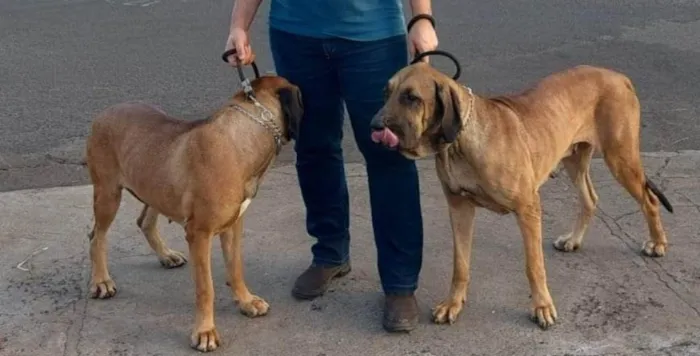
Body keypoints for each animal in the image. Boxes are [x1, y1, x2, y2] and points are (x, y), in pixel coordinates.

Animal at [83, 74, 302, 350]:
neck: (242, 138)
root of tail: (104, 112)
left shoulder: (233, 226)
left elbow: (235, 267)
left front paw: (246, 301)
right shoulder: (199, 234)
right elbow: (205, 287)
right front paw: (205, 331)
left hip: (155, 185)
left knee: (144, 221)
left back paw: (166, 255)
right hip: (108, 194)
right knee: (97, 237)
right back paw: (101, 281)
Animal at [372, 62, 672, 330]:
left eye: (412, 97)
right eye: (386, 93)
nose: (374, 126)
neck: (459, 143)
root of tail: (619, 76)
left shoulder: (528, 207)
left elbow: (534, 265)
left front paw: (542, 307)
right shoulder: (459, 207)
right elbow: (460, 263)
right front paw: (452, 303)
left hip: (621, 157)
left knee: (649, 200)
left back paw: (657, 243)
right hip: (574, 157)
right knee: (590, 199)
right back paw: (573, 240)